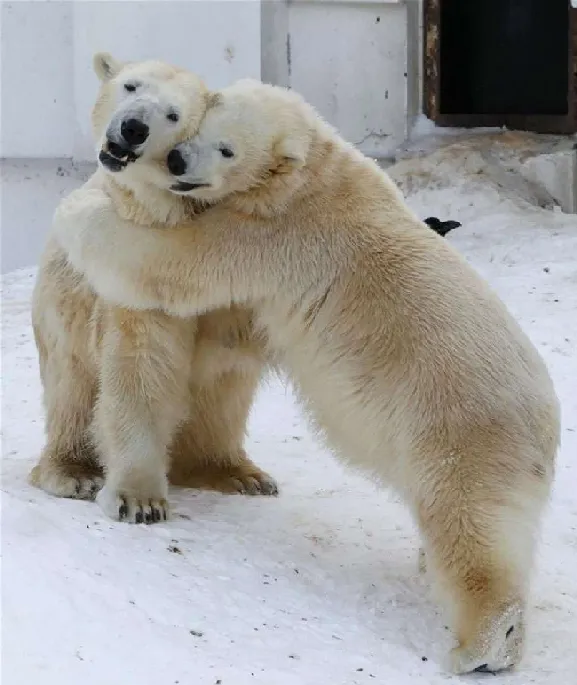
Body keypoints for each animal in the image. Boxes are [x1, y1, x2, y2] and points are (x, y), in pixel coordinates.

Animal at [53, 77, 560, 672]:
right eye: (200, 125)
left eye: (227, 149)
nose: (177, 159)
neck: (316, 172)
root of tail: (546, 426)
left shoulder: (273, 237)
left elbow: (172, 263)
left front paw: (75, 208)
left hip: (460, 435)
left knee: (470, 530)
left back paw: (479, 647)